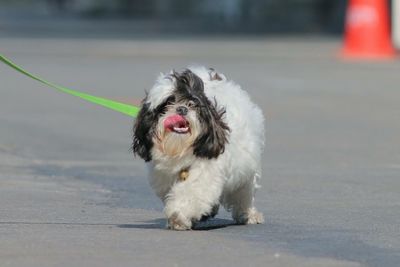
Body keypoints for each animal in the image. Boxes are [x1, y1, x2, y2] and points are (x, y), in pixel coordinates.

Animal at [133, 66, 266, 230]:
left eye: (192, 104)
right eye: (168, 103)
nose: (182, 109)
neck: (180, 150)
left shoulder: (205, 172)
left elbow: (191, 193)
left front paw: (178, 215)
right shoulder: (164, 178)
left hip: (246, 168)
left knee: (244, 193)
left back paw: (248, 214)